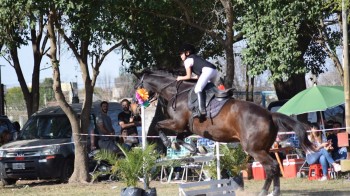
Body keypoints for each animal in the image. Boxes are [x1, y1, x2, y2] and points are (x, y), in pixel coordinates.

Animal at [135, 69, 314, 195]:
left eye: (138, 86)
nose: (137, 106)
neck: (176, 92)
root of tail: (269, 114)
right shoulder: (187, 128)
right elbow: (179, 138)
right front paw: (193, 149)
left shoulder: (178, 124)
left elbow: (158, 126)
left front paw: (168, 142)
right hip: (265, 148)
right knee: (274, 167)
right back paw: (273, 192)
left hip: (254, 149)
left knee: (271, 167)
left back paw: (265, 192)